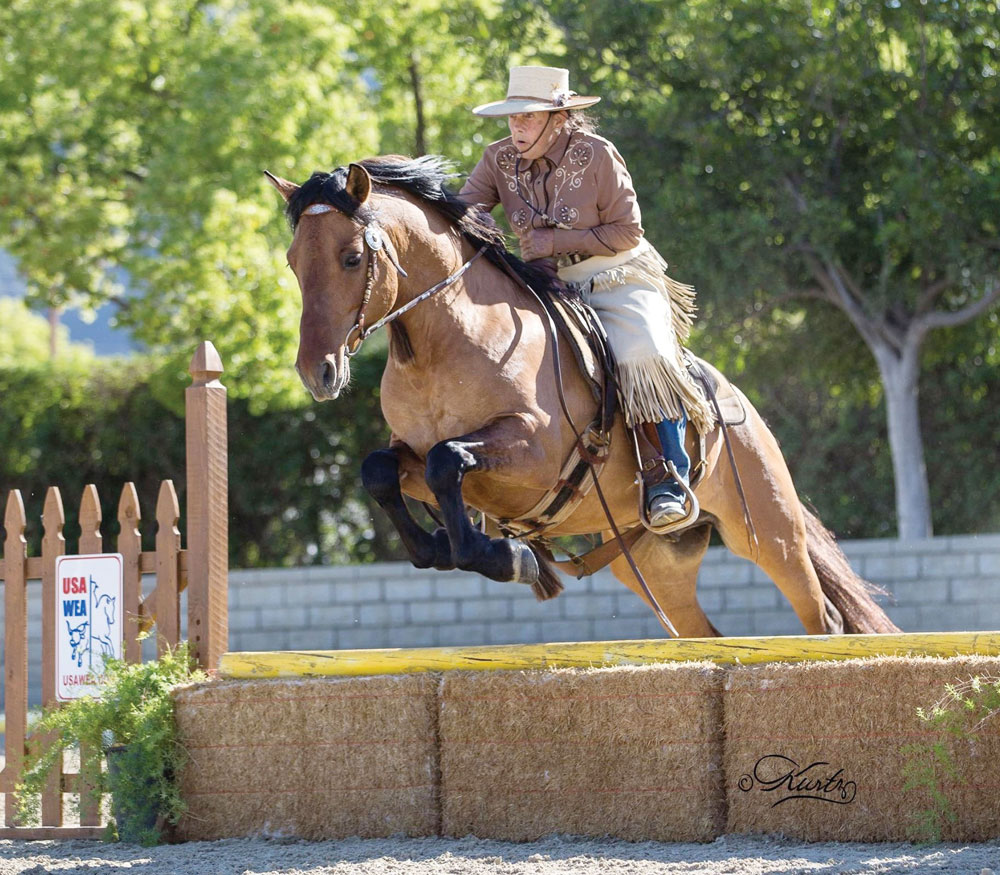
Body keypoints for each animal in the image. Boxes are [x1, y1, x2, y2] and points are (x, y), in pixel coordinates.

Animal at [266, 156, 900, 636]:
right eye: (294, 262)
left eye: (351, 257)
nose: (317, 372)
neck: (445, 342)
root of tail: (733, 399)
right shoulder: (413, 457)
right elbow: (381, 470)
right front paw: (452, 549)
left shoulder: (533, 453)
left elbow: (450, 461)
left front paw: (510, 558)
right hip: (651, 561)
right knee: (701, 630)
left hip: (768, 532)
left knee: (820, 617)